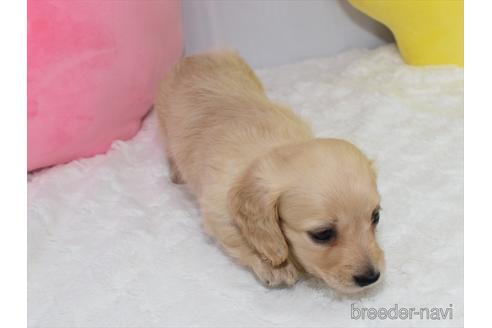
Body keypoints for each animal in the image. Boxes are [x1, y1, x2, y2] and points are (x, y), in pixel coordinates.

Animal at [155, 50, 384, 292]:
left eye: (376, 217)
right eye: (322, 234)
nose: (371, 277)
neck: (266, 150)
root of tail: (194, 56)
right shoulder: (216, 211)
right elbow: (240, 238)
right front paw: (277, 266)